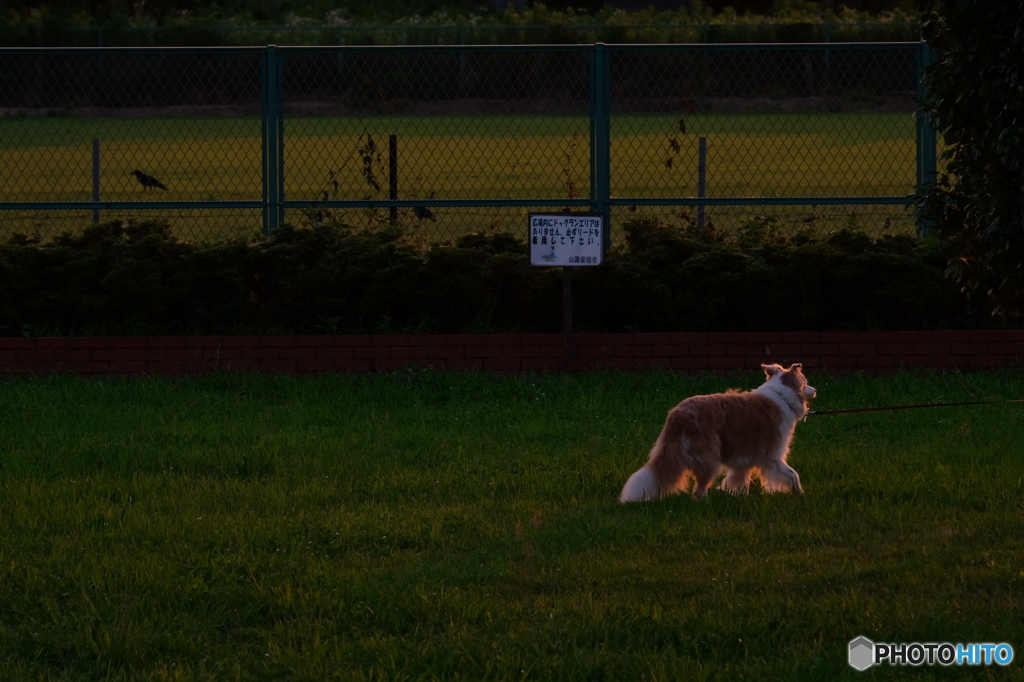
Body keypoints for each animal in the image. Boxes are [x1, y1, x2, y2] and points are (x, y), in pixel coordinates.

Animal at [614, 360, 815, 499]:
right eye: (805, 382)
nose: (815, 390)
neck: (782, 395)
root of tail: (678, 415)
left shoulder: (744, 458)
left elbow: (739, 479)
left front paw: (738, 494)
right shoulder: (772, 456)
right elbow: (793, 475)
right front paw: (801, 493)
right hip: (709, 458)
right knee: (699, 490)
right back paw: (704, 502)